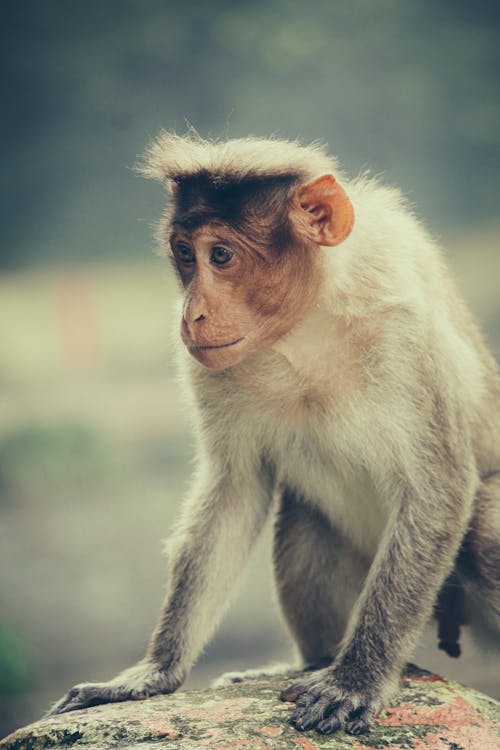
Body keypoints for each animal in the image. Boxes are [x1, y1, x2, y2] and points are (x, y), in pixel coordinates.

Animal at [47, 132, 500, 736]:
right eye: (184, 253)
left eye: (221, 255)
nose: (190, 315)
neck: (307, 328)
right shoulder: (212, 366)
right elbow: (234, 491)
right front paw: (153, 672)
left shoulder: (407, 335)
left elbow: (438, 488)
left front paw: (355, 681)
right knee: (305, 518)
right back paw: (308, 661)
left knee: (485, 529)